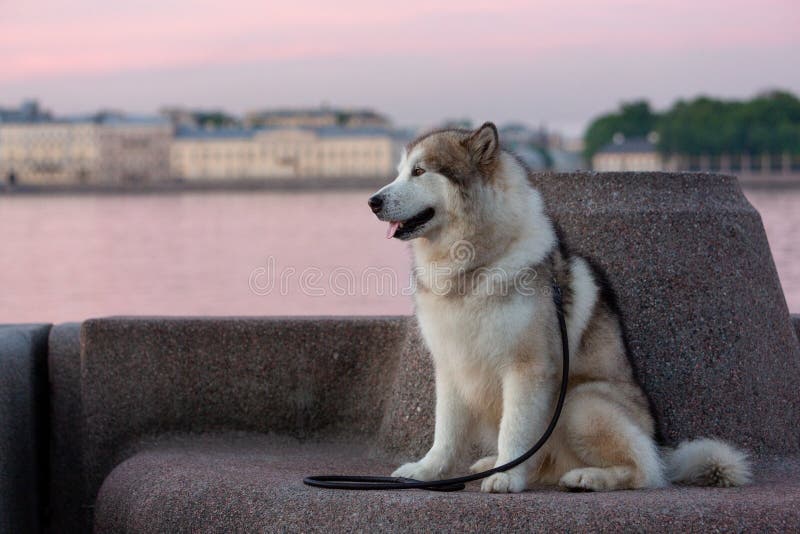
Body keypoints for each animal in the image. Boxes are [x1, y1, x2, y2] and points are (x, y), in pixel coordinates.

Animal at [368, 121, 752, 494]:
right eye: (400, 171)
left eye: (419, 171)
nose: (373, 201)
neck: (475, 266)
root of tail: (661, 446)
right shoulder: (452, 366)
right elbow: (445, 433)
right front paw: (426, 472)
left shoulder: (527, 369)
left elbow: (515, 430)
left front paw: (507, 477)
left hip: (579, 403)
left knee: (644, 470)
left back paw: (588, 478)